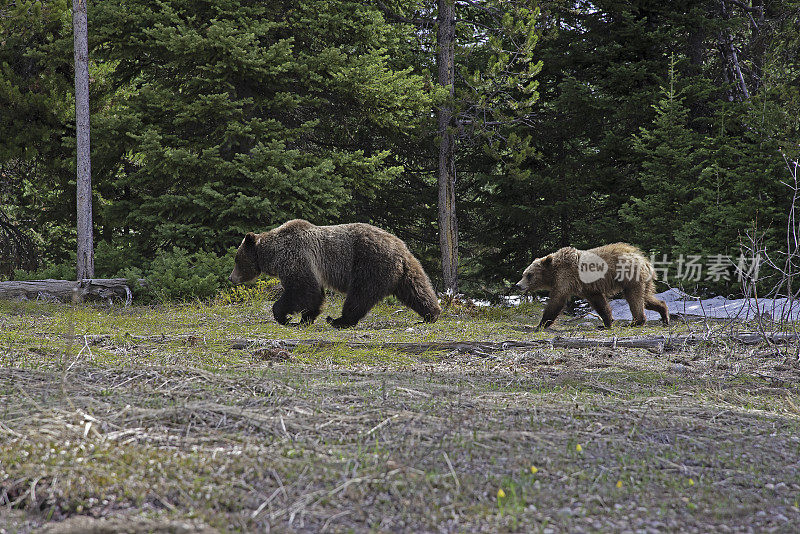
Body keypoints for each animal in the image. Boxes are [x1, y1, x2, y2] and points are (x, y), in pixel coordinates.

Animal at [228, 220, 440, 328]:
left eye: (237, 260)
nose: (231, 278)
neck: (272, 252)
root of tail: (400, 250)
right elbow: (314, 293)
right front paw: (306, 318)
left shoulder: (295, 256)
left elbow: (302, 289)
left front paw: (283, 315)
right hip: (406, 269)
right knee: (417, 289)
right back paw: (431, 314)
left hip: (369, 263)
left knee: (359, 295)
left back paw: (339, 320)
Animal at [512, 244, 668, 330]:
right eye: (524, 273)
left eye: (529, 275)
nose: (518, 285)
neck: (553, 272)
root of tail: (645, 261)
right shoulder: (587, 288)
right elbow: (599, 303)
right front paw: (606, 322)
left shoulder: (565, 278)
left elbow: (557, 301)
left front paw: (540, 324)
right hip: (644, 281)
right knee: (646, 298)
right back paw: (664, 314)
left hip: (630, 276)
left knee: (634, 298)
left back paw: (636, 322)